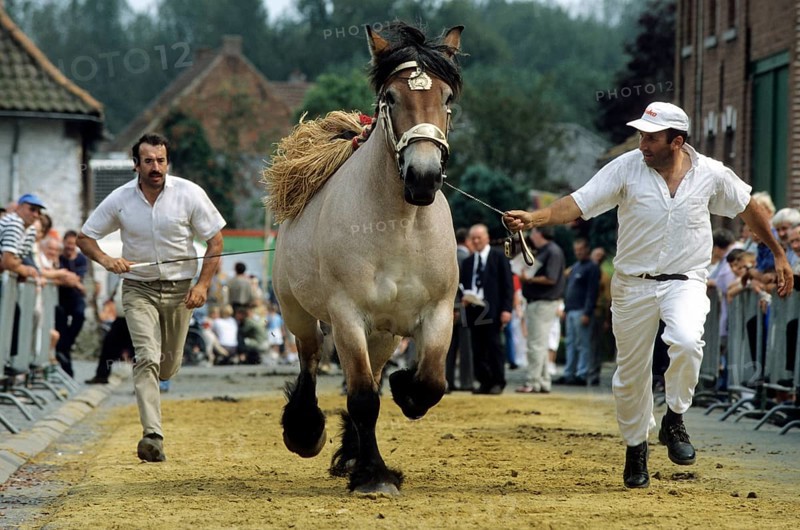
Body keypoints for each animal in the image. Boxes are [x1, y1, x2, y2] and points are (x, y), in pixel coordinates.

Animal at [264, 22, 463, 496]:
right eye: (391, 97)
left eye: (447, 97)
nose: (423, 177)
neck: (399, 227)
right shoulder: (347, 315)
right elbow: (361, 398)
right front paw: (373, 476)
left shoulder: (437, 313)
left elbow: (430, 382)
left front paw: (405, 389)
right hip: (299, 313)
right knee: (310, 359)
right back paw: (305, 430)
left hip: (384, 333)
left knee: (372, 373)